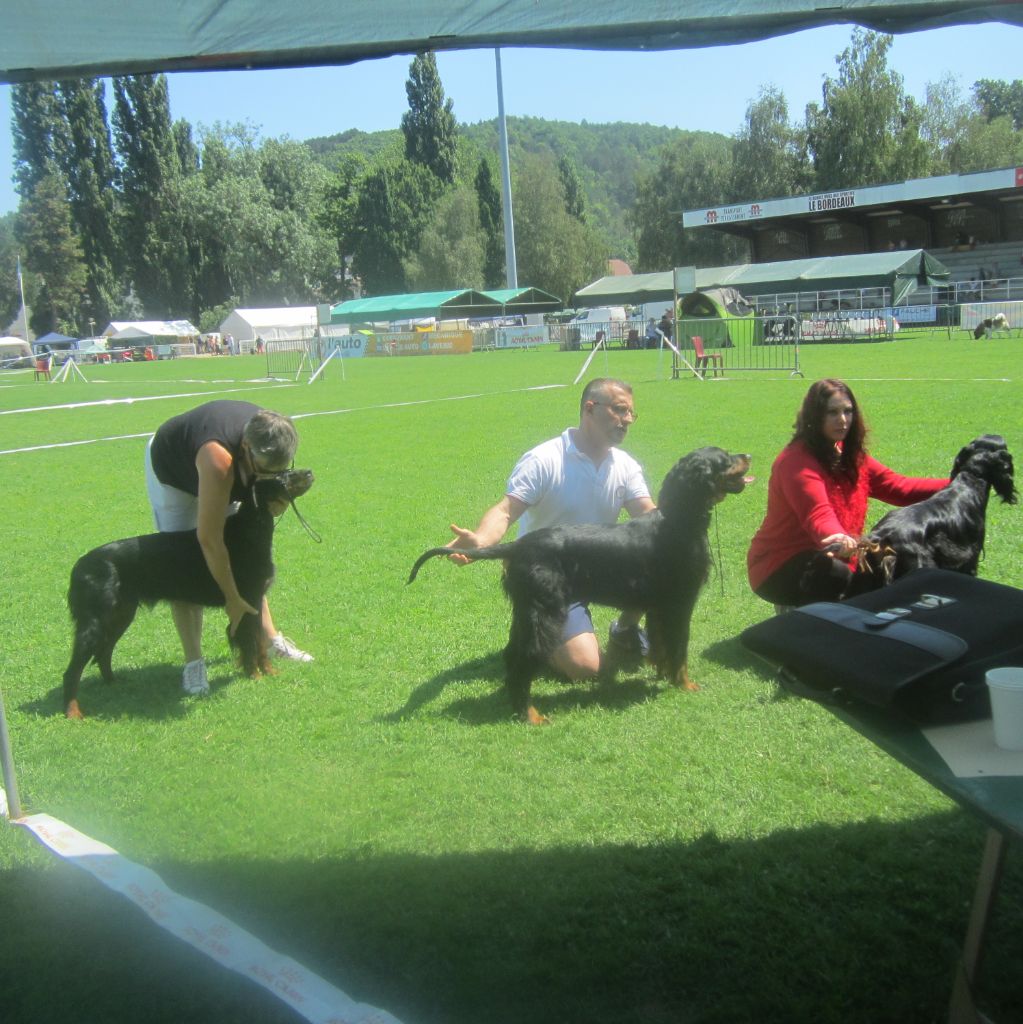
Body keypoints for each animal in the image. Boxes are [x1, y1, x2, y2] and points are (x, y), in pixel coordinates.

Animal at [60, 468, 311, 716]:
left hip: (120, 615)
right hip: (95, 622)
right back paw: (73, 712)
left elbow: (259, 642)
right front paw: (255, 675)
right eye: (281, 476)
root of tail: (79, 566)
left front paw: (269, 671)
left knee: (104, 653)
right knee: (72, 670)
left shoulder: (255, 602)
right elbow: (250, 643)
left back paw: (114, 683)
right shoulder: (245, 602)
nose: (309, 472)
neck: (249, 529)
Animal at [407, 446, 753, 720]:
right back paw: (530, 714)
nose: (748, 456)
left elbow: (663, 645)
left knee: (512, 653)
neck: (678, 521)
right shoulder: (679, 603)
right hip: (546, 613)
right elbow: (680, 648)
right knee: (524, 658)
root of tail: (519, 546)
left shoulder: (659, 606)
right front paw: (685, 684)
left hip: (527, 612)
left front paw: (662, 672)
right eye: (724, 458)